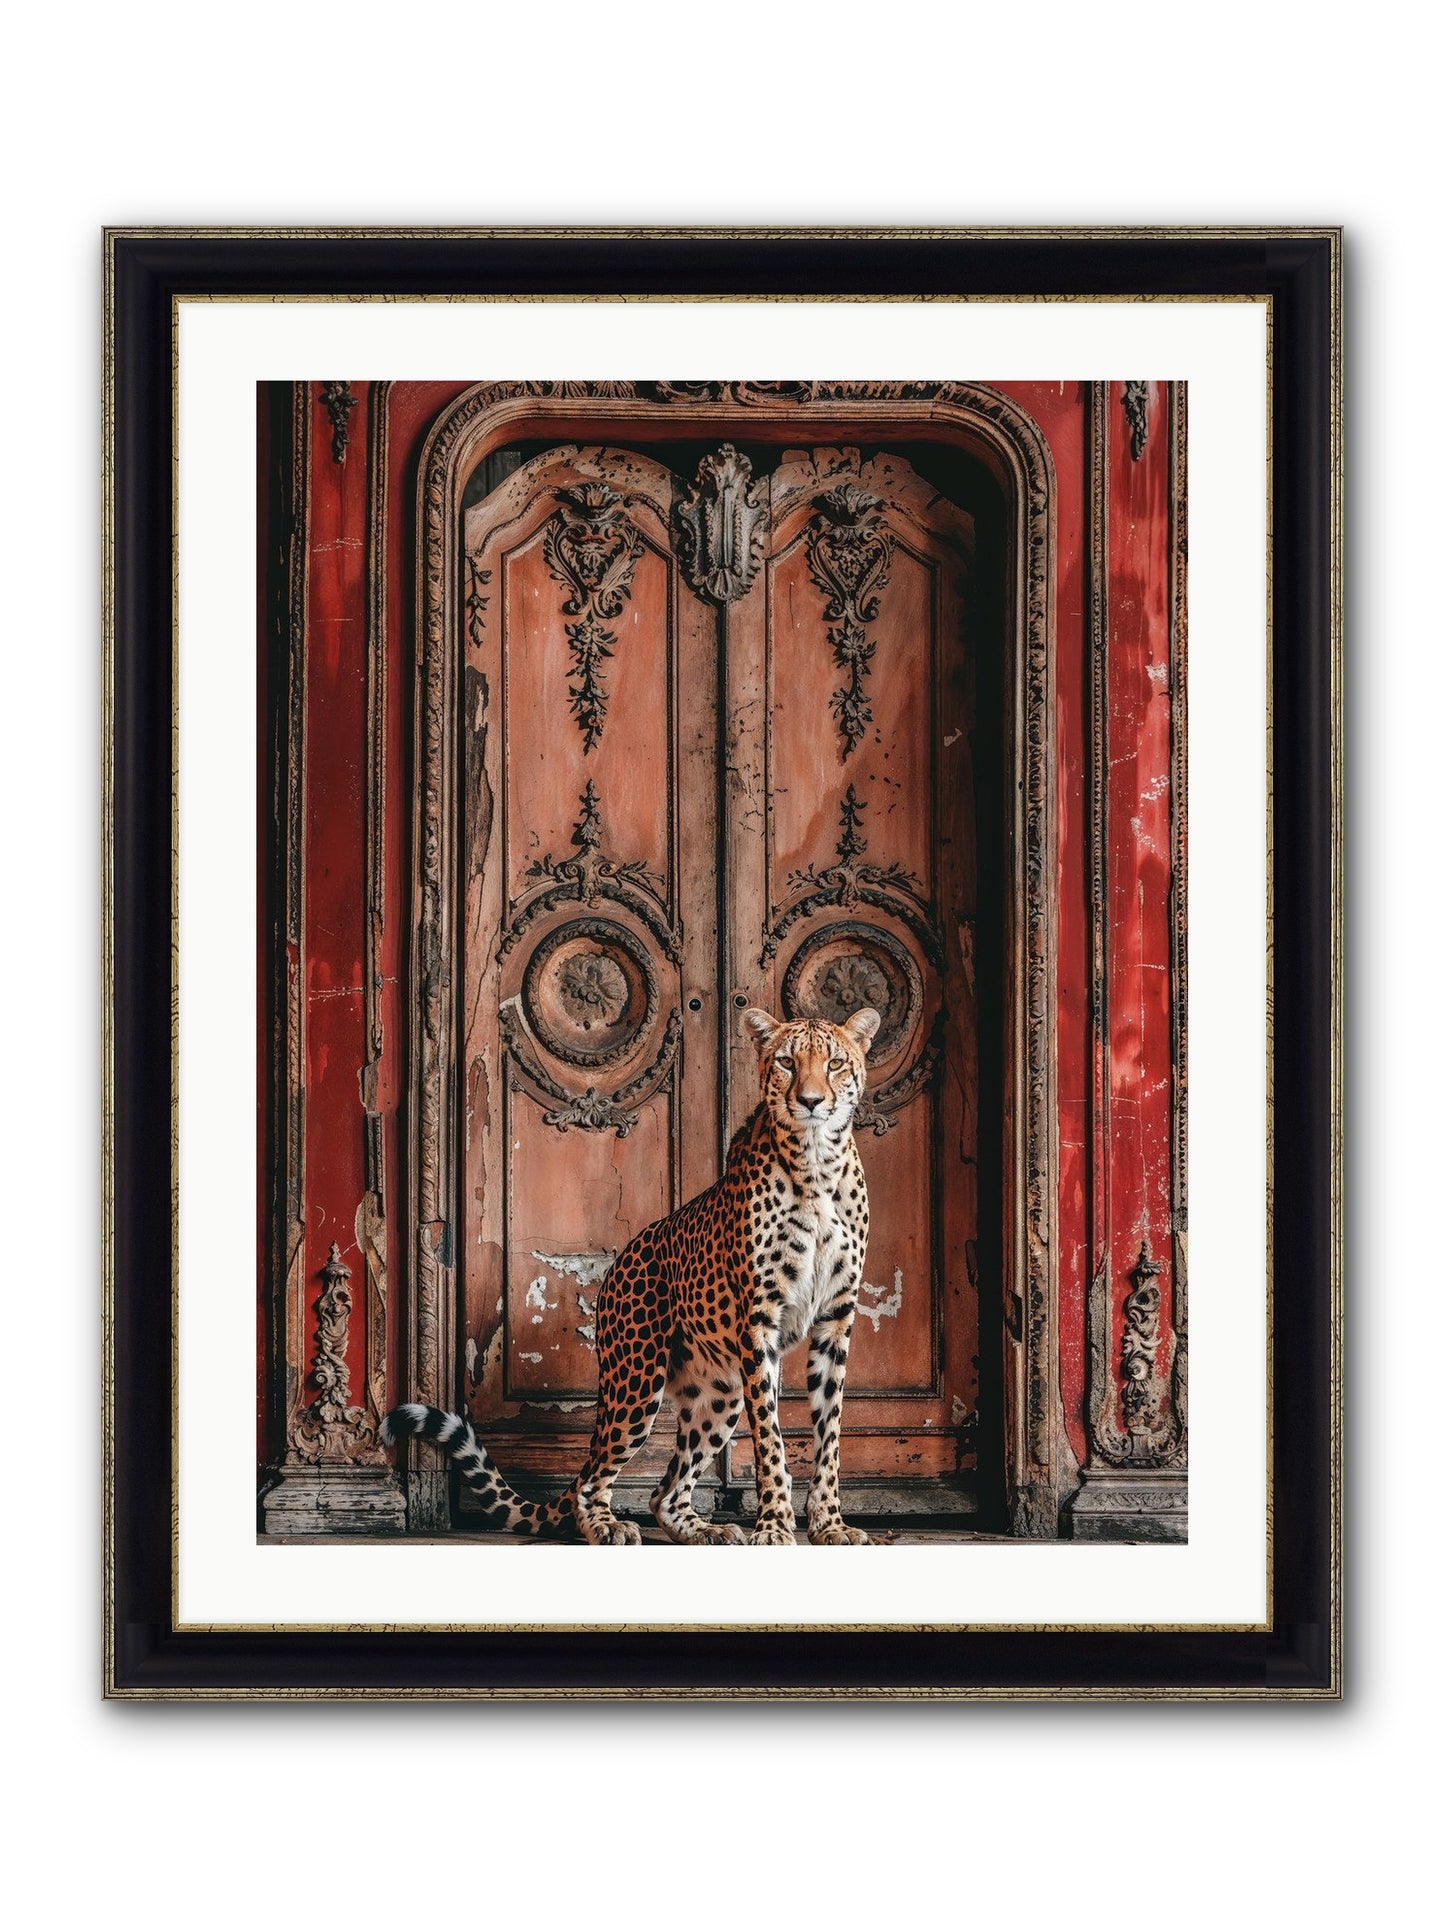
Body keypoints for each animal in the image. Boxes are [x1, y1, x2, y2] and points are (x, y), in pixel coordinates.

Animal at [383, 1002, 881, 1545]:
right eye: (788, 1062)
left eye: (835, 1063)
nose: (811, 1101)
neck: (817, 1164)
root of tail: (621, 1258)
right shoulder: (760, 1321)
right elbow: (770, 1436)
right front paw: (773, 1526)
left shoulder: (835, 1318)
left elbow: (829, 1433)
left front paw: (830, 1524)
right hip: (638, 1381)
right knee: (592, 1479)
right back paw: (608, 1525)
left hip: (720, 1392)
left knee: (663, 1492)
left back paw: (705, 1530)